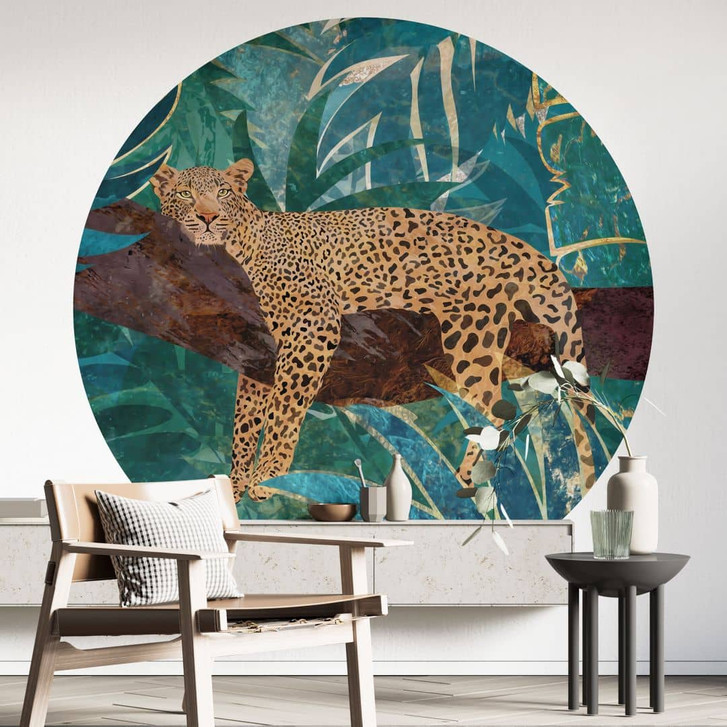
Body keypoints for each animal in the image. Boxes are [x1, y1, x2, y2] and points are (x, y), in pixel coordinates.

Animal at [151, 158, 595, 502]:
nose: (208, 217)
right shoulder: (256, 350)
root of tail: (529, 251)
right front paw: (238, 480)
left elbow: (284, 408)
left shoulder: (313, 325)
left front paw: (270, 475)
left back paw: (464, 478)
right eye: (186, 194)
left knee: (490, 408)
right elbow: (246, 419)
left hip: (473, 338)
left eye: (223, 192)